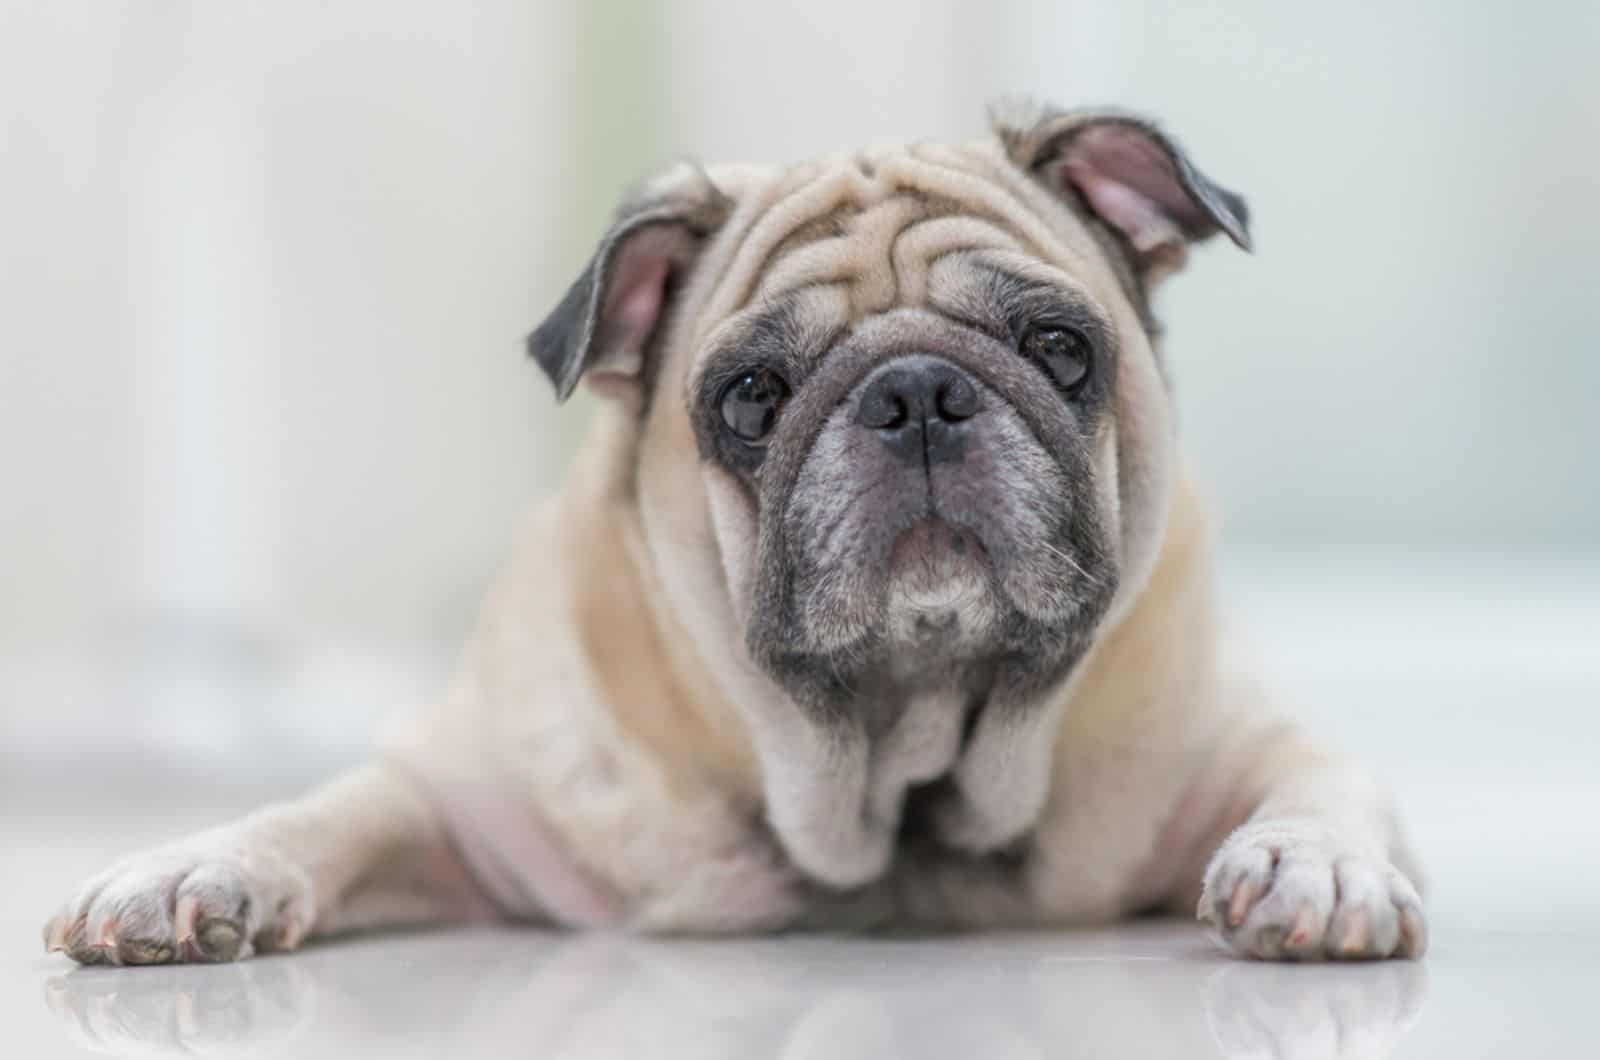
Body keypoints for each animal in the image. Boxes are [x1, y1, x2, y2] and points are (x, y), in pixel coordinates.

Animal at [43, 104, 1433, 967]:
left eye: (1058, 347)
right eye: (751, 398)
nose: (915, 393)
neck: (893, 769)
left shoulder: (1242, 742)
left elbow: (1322, 781)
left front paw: (1315, 868)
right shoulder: (460, 804)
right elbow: (323, 813)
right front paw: (191, 873)